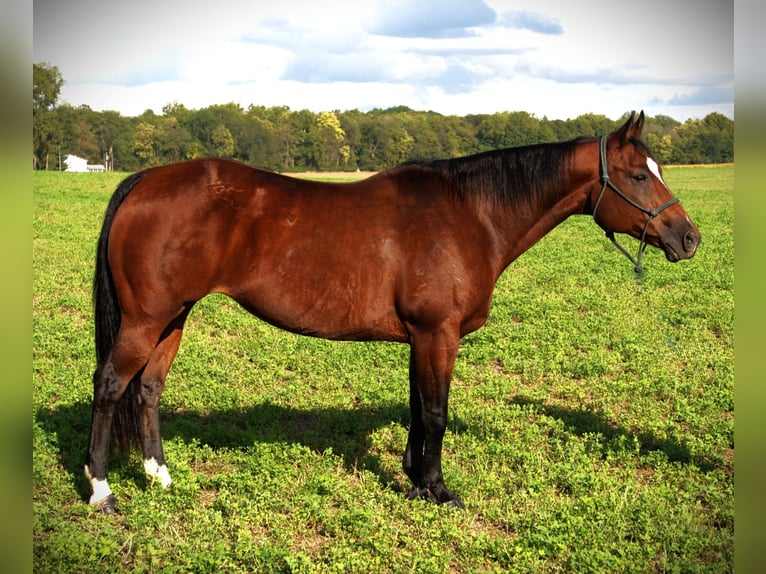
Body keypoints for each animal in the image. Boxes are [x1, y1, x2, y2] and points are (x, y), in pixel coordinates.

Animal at [85, 111, 699, 512]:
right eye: (639, 175)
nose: (688, 238)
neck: (470, 213)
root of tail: (145, 180)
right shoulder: (438, 333)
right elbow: (436, 412)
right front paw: (438, 490)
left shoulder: (420, 337)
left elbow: (416, 409)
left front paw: (414, 478)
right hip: (146, 320)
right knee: (111, 384)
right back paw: (102, 491)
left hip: (174, 317)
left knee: (148, 389)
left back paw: (159, 476)